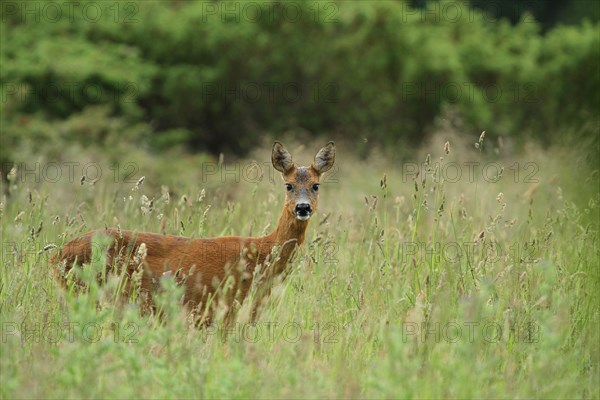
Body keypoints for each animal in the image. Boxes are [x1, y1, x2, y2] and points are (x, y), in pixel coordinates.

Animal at [49, 142, 336, 324]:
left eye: (316, 185)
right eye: (288, 185)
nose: (302, 208)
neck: (262, 254)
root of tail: (55, 256)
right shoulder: (227, 308)